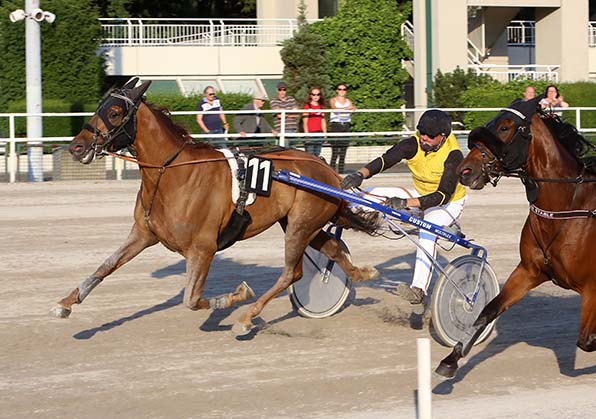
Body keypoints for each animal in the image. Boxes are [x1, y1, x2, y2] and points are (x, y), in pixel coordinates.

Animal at [49, 79, 380, 334]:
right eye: (98, 106)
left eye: (115, 112)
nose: (77, 147)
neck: (172, 173)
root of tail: (326, 169)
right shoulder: (143, 234)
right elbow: (105, 266)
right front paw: (65, 303)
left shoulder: (203, 248)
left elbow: (192, 300)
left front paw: (236, 296)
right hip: (302, 223)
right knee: (333, 250)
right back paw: (362, 273)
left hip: (300, 225)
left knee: (292, 273)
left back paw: (247, 317)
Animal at [434, 97, 596, 378]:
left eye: (504, 127)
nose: (463, 170)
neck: (568, 208)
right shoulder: (529, 271)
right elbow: (487, 311)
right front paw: (451, 359)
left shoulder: (592, 287)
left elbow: (586, 341)